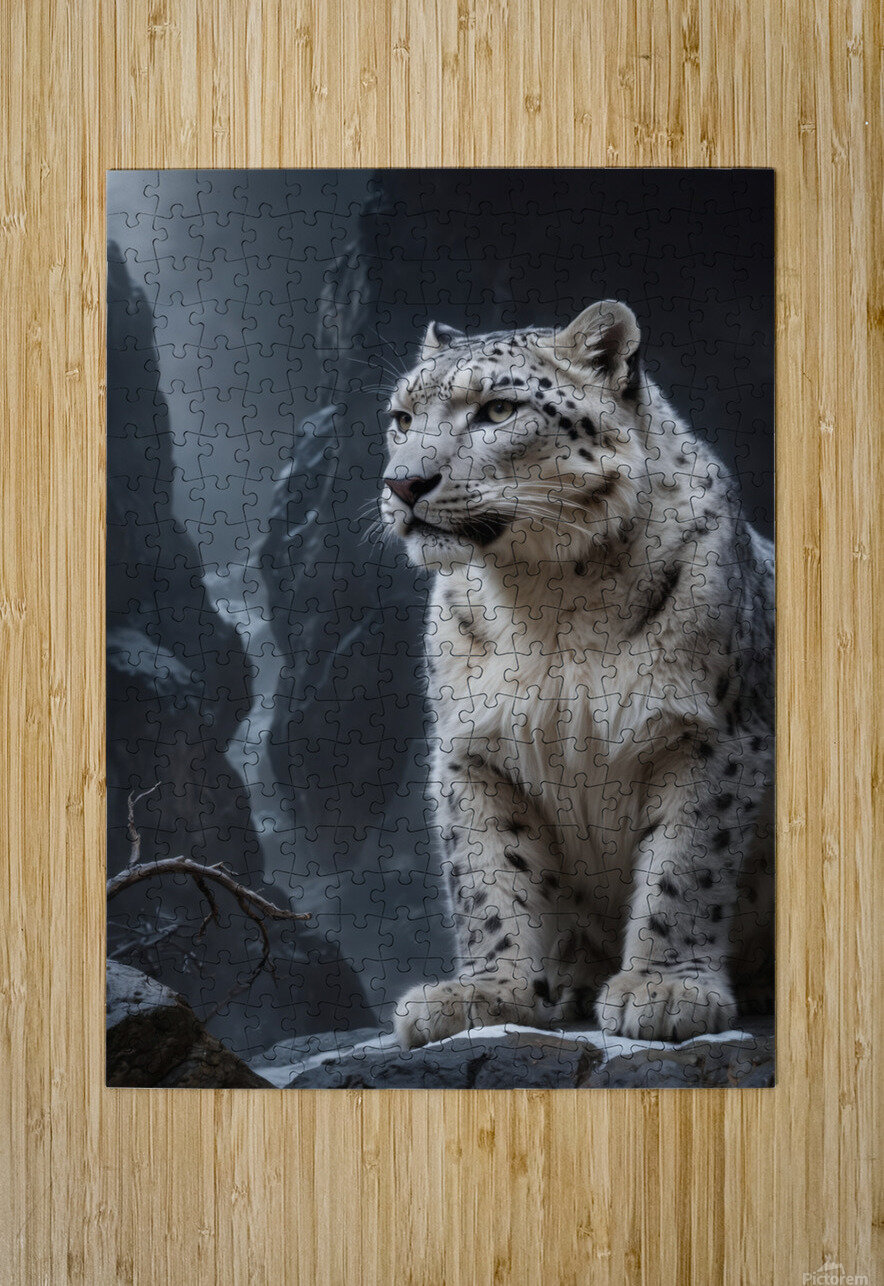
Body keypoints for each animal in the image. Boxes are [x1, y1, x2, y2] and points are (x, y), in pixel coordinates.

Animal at [378, 300, 774, 1047]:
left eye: (498, 409)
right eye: (402, 418)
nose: (403, 483)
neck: (550, 601)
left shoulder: (710, 733)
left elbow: (686, 862)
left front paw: (664, 990)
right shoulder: (473, 748)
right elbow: (487, 875)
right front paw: (484, 992)